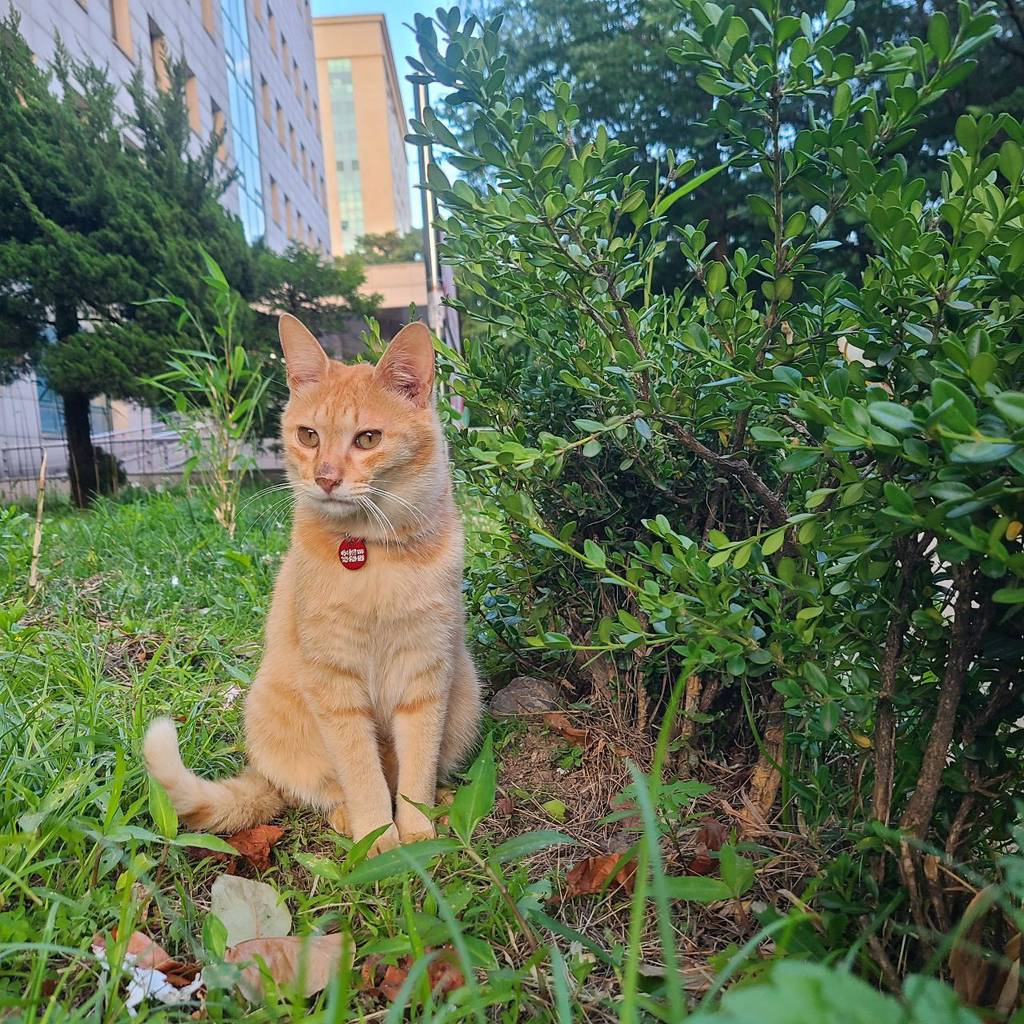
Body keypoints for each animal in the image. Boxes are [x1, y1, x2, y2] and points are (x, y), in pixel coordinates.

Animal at [144, 313, 483, 856]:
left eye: (367, 439)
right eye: (308, 436)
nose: (324, 478)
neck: (370, 554)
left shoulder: (425, 676)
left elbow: (414, 773)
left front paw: (418, 835)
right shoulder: (335, 686)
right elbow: (363, 777)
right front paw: (379, 840)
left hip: (466, 693)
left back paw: (441, 802)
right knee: (322, 790)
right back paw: (347, 820)